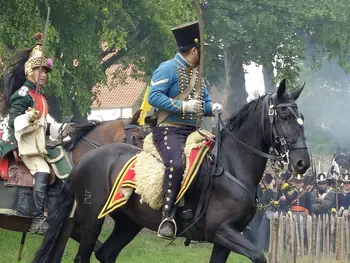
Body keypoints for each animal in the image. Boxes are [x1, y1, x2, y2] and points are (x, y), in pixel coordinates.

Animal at [32, 81, 310, 263]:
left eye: (301, 118)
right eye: (284, 115)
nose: (302, 163)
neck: (231, 166)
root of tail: (83, 160)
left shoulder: (225, 240)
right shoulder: (222, 231)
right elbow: (258, 256)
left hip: (128, 223)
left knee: (106, 254)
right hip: (92, 219)